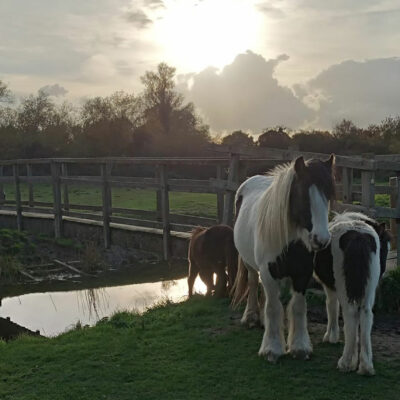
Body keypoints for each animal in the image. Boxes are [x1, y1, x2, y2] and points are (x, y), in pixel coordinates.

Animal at [231, 155, 334, 362]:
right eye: (303, 195)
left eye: (328, 195)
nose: (321, 239)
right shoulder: (268, 271)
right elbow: (273, 307)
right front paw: (272, 349)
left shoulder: (302, 274)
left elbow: (298, 307)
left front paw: (300, 347)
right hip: (250, 265)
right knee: (253, 283)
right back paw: (250, 317)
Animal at [314, 212, 390, 376]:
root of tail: (358, 236)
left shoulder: (330, 288)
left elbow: (331, 307)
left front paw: (331, 337)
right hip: (368, 292)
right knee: (366, 316)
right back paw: (365, 366)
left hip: (345, 289)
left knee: (350, 314)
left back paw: (346, 363)